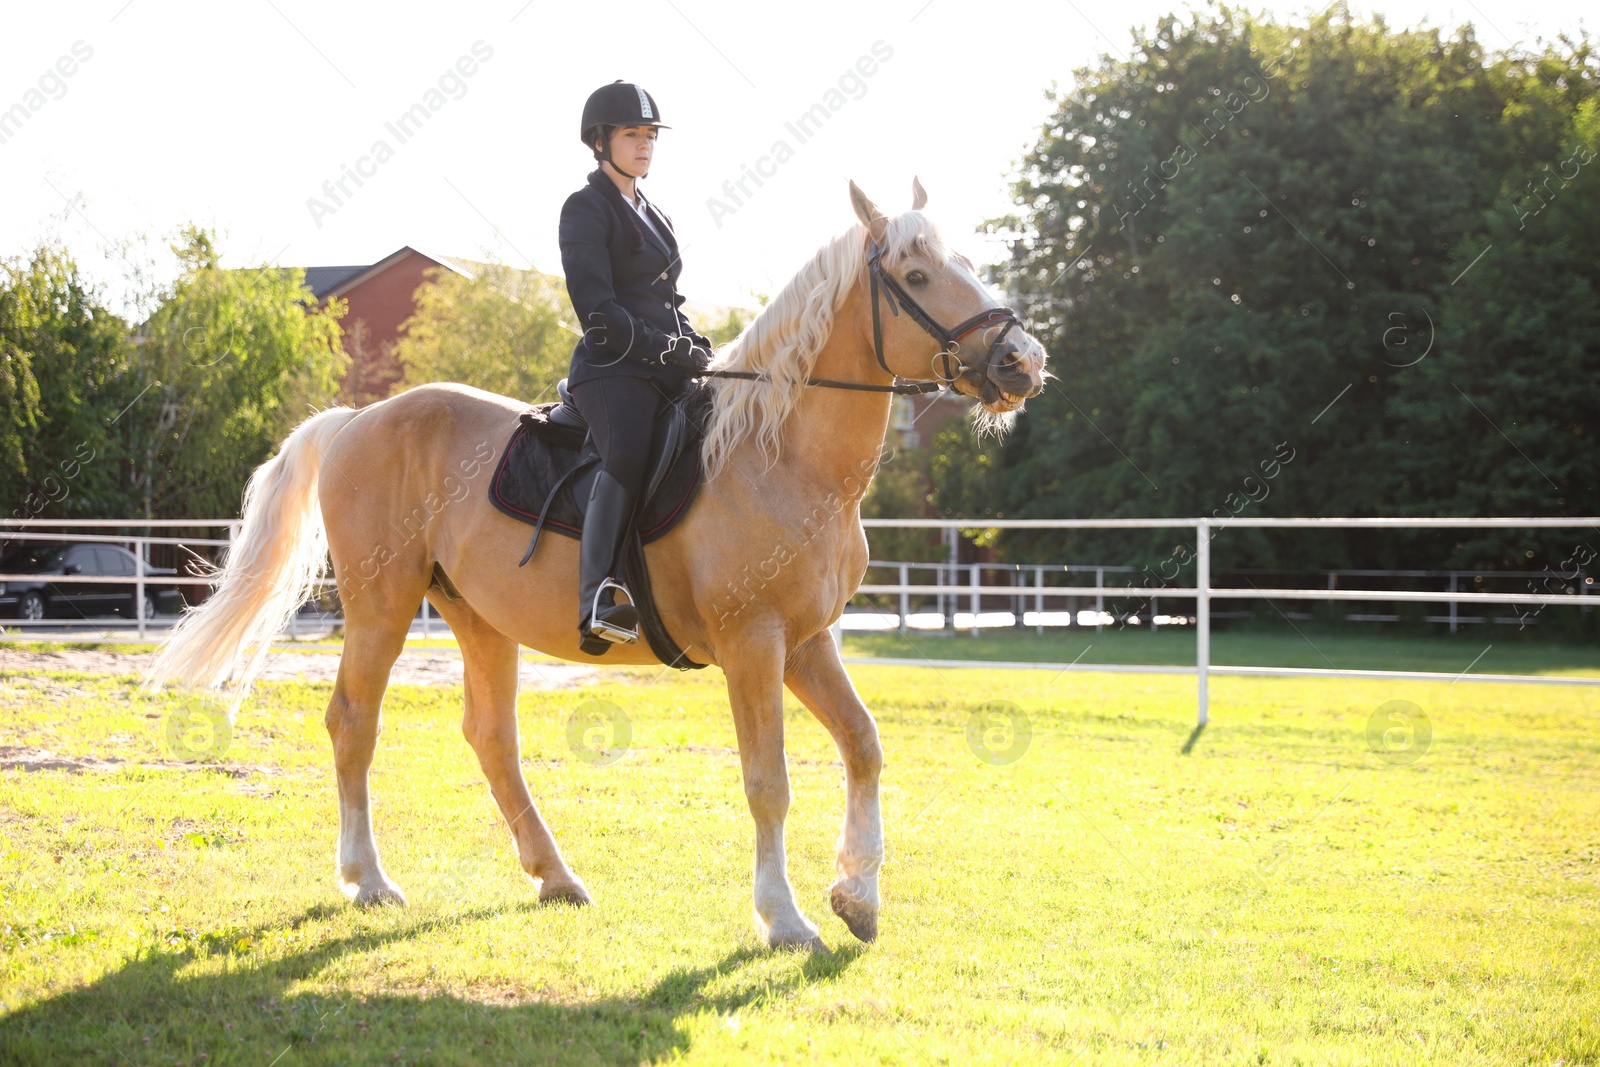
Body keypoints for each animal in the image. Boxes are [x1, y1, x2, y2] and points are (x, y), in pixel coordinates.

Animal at [150, 177, 1049, 953]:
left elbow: (863, 744)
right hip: (382, 604)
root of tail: (358, 419)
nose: (1024, 363)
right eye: (918, 274)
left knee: (491, 737)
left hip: (477, 614)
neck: (782, 456)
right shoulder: (754, 643)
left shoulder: (807, 640)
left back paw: (554, 875)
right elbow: (768, 780)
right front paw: (785, 919)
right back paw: (368, 878)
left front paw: (857, 895)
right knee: (353, 723)